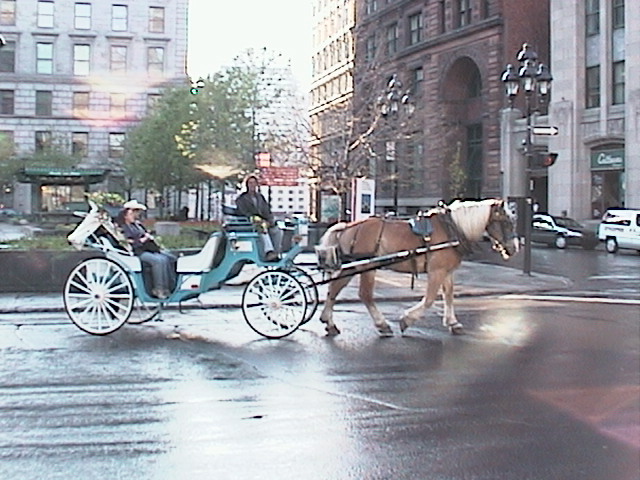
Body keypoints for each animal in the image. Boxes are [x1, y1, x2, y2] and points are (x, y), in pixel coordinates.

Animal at [316, 199, 520, 338]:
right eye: (506, 222)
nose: (515, 248)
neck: (452, 228)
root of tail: (347, 226)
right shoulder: (436, 271)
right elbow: (429, 299)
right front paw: (406, 320)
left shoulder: (447, 271)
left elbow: (449, 295)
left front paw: (453, 322)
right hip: (368, 265)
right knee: (364, 295)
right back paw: (382, 324)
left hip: (353, 266)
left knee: (334, 288)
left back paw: (329, 322)